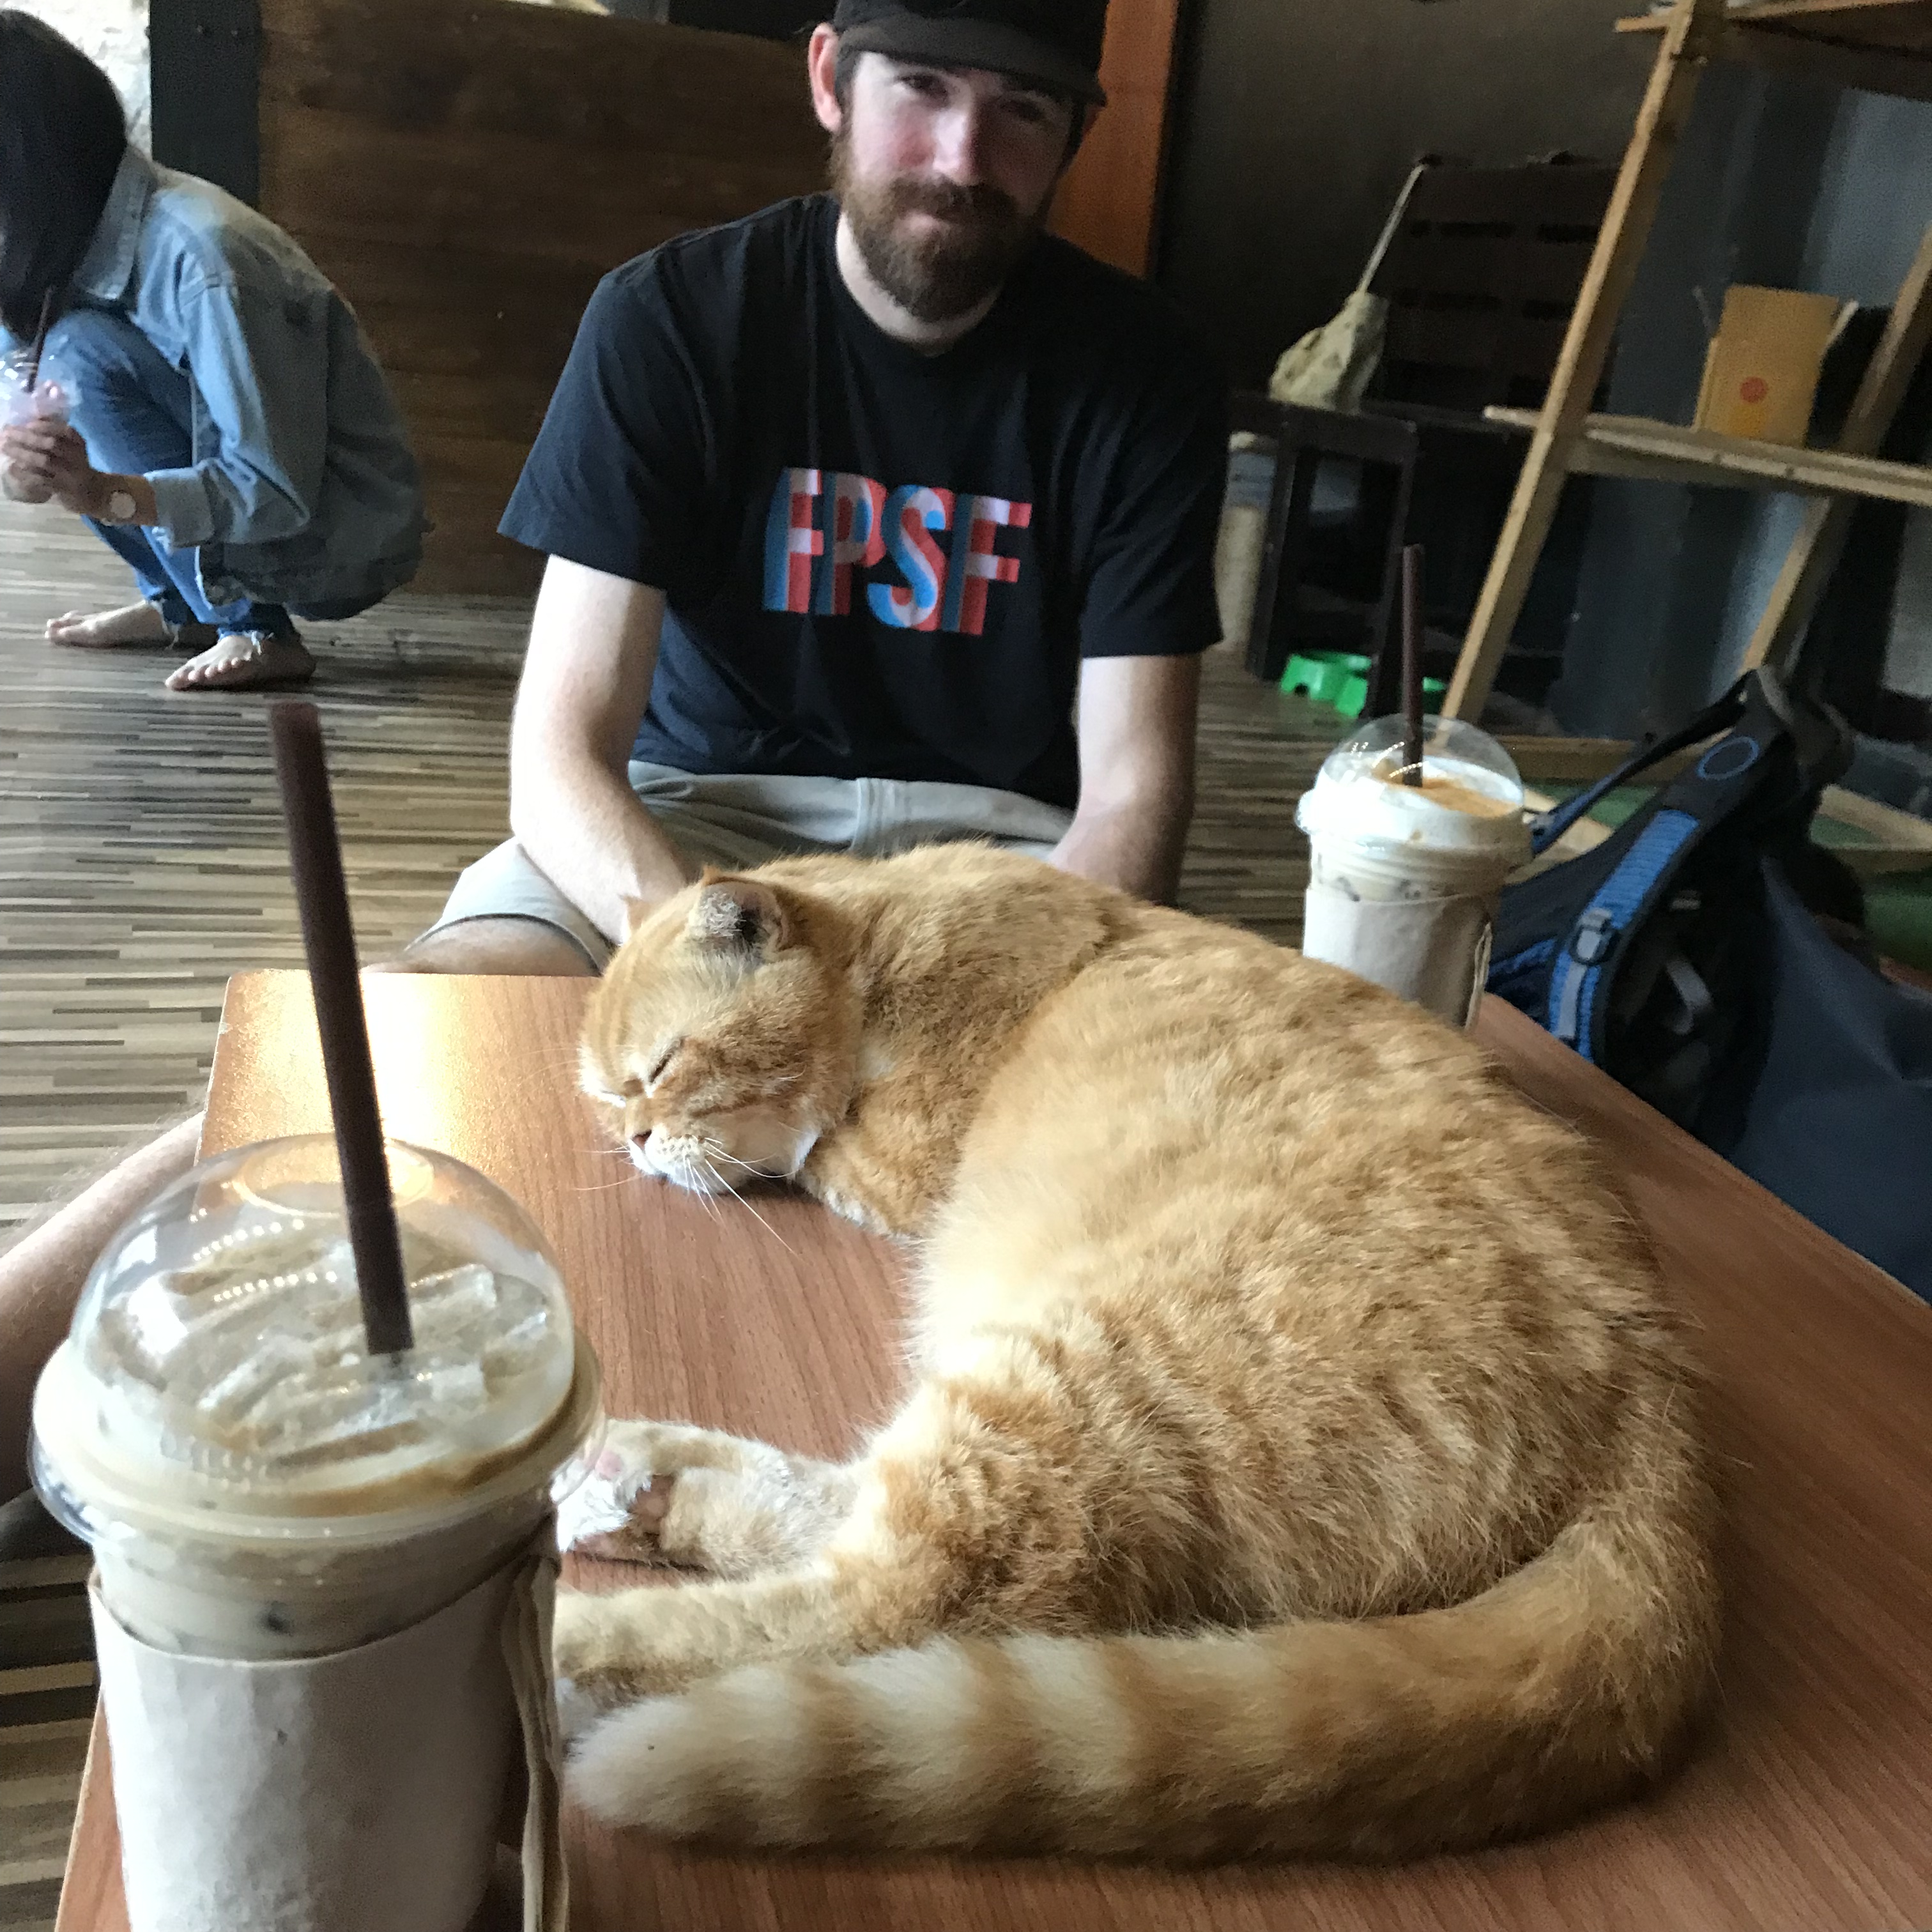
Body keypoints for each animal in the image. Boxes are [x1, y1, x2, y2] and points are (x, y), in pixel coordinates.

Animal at [553, 844, 1720, 1860]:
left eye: (660, 1068)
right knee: (842, 1524)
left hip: (1066, 1385)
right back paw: (641, 1482)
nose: (635, 1143)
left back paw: (565, 1640)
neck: (889, 946)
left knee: (892, 1601)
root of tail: (1659, 1400)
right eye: (609, 1098)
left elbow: (812, 1151)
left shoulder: (887, 1162)